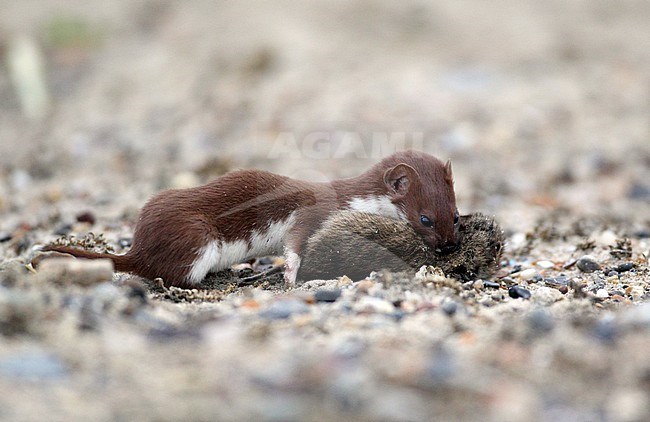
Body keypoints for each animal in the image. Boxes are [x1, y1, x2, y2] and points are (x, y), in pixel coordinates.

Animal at [43, 149, 456, 286]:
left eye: (454, 215)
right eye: (425, 219)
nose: (450, 247)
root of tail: (138, 246)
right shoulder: (313, 212)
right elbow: (295, 244)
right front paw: (289, 276)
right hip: (195, 235)